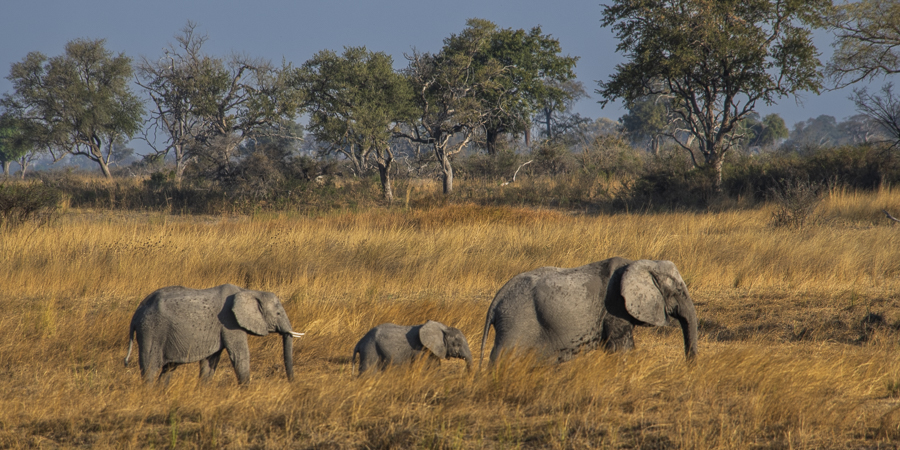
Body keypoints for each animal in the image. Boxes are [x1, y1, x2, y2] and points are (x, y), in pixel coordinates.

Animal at [124, 284, 304, 384]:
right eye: (278, 313)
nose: (292, 383)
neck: (248, 291)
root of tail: (136, 314)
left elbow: (211, 361)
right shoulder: (230, 321)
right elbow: (239, 355)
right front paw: (247, 389)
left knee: (168, 369)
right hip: (151, 331)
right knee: (150, 368)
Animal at [481, 257, 698, 365]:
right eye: (679, 291)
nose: (689, 366)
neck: (639, 264)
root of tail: (496, 299)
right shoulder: (615, 306)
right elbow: (621, 347)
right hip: (515, 320)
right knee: (503, 353)